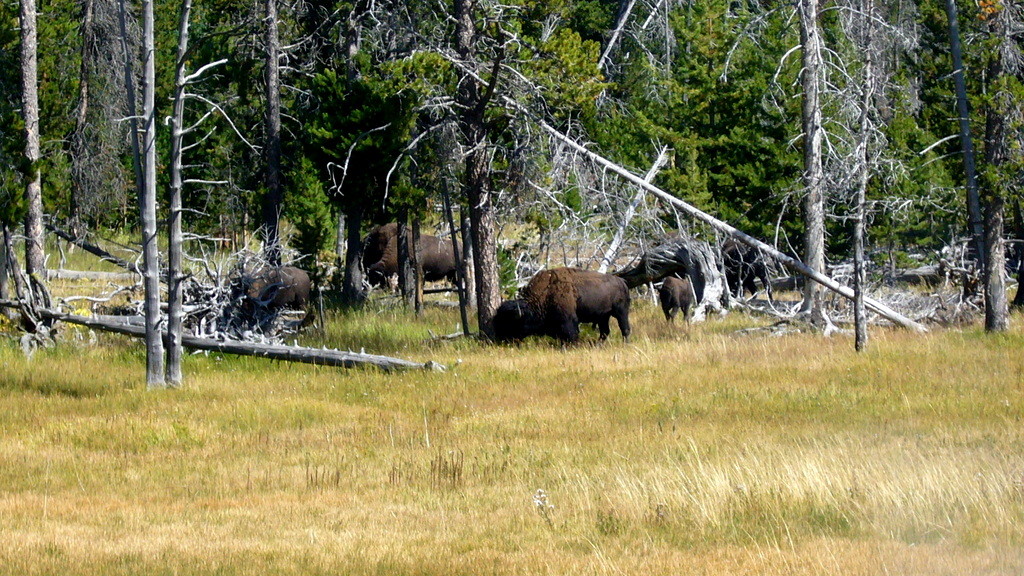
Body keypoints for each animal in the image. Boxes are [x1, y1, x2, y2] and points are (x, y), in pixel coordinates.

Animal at [495, 266, 630, 342]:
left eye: (511, 322)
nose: (502, 338)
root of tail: (622, 281)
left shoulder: (568, 320)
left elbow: (570, 335)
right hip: (603, 316)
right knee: (605, 332)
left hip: (620, 312)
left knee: (625, 329)